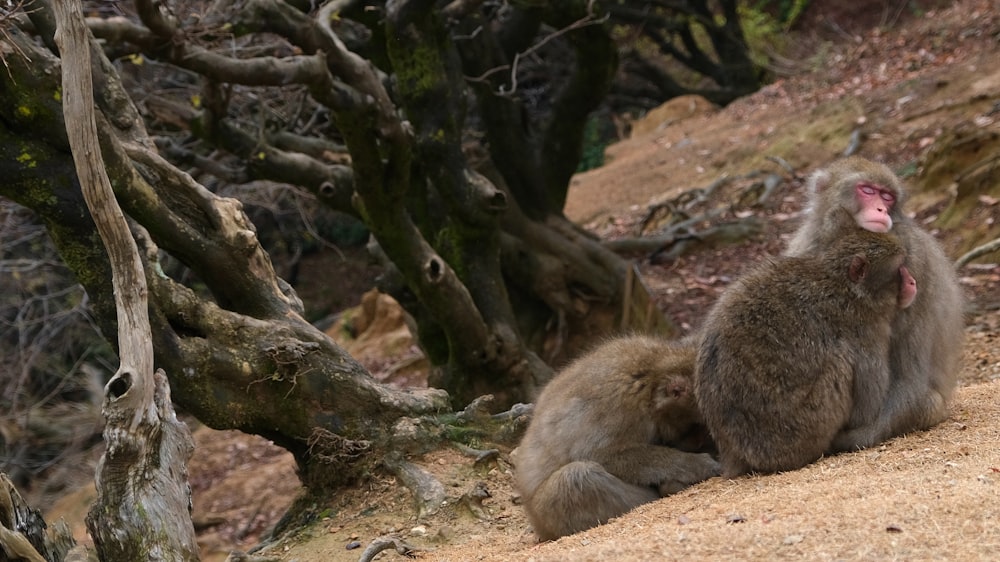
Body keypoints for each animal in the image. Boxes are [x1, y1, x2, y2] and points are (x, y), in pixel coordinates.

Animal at [516, 332, 720, 540]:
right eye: (697, 426)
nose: (700, 442)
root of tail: (538, 526)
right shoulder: (619, 409)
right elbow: (600, 455)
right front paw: (698, 464)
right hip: (548, 516)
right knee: (576, 477)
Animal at [696, 213, 916, 472]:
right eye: (899, 269)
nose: (912, 281)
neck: (844, 286)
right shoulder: (865, 329)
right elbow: (867, 408)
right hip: (800, 431)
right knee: (839, 364)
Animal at [784, 154, 964, 450]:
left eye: (887, 196)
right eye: (867, 190)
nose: (881, 208)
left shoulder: (915, 257)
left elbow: (910, 375)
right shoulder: (806, 250)